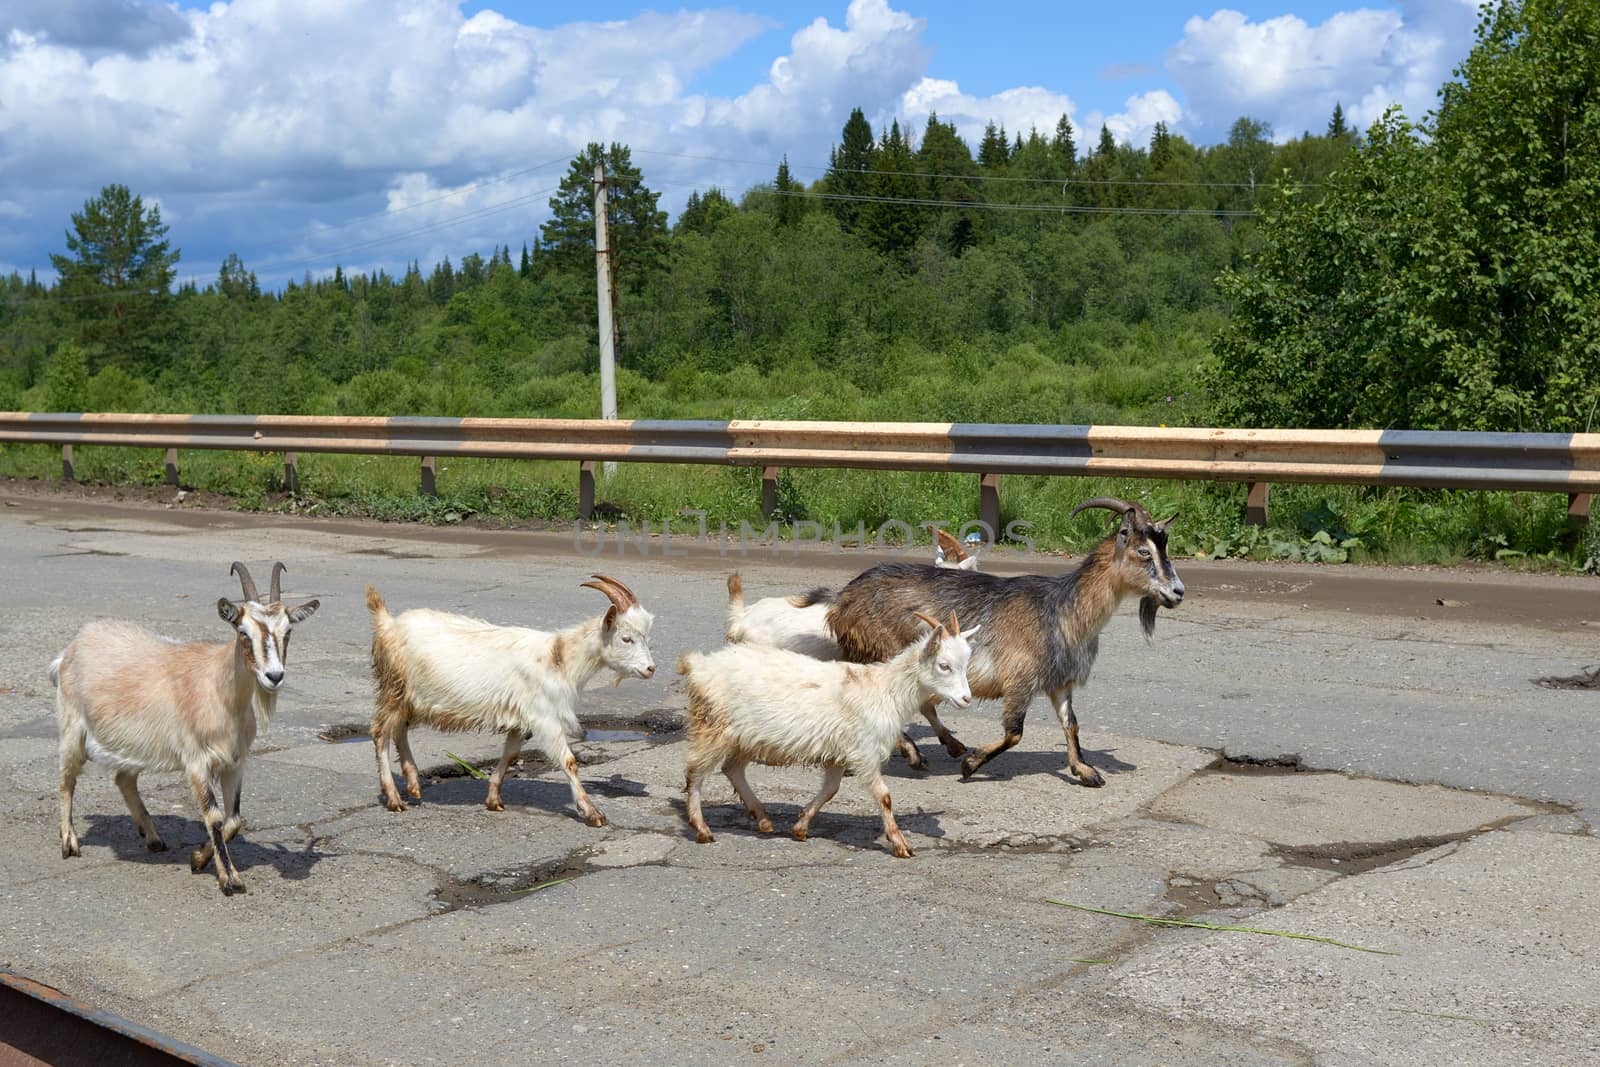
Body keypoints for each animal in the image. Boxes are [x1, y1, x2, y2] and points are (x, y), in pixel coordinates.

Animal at [54, 563, 321, 895]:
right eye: (243, 632)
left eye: (288, 632)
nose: (274, 676)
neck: (219, 692)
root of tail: (73, 645)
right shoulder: (197, 762)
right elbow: (215, 817)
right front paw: (229, 879)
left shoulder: (235, 763)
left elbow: (234, 819)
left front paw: (198, 858)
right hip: (72, 727)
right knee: (67, 779)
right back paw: (69, 842)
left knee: (124, 779)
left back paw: (153, 838)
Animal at [366, 575, 652, 825]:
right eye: (626, 638)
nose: (651, 669)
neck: (558, 657)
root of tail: (387, 623)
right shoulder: (544, 716)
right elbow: (568, 761)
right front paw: (592, 812)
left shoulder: (522, 718)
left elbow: (510, 755)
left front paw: (493, 798)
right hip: (394, 687)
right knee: (380, 732)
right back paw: (393, 798)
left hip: (406, 697)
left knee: (399, 729)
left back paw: (413, 784)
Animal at [675, 614, 972, 857]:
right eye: (944, 665)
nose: (966, 699)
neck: (884, 690)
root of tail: (698, 665)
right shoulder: (863, 750)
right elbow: (884, 796)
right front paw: (900, 844)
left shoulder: (840, 753)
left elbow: (830, 790)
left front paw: (800, 827)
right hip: (711, 726)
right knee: (695, 773)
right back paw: (702, 828)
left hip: (745, 737)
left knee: (732, 769)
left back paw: (762, 818)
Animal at [825, 499, 1190, 783]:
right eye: (1143, 552)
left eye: (1165, 549)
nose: (1178, 592)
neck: (1063, 610)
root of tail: (843, 599)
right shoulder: (1020, 679)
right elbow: (1015, 732)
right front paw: (971, 765)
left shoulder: (1060, 679)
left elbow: (1070, 723)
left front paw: (1085, 771)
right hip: (882, 650)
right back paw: (915, 754)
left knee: (922, 703)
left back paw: (948, 744)